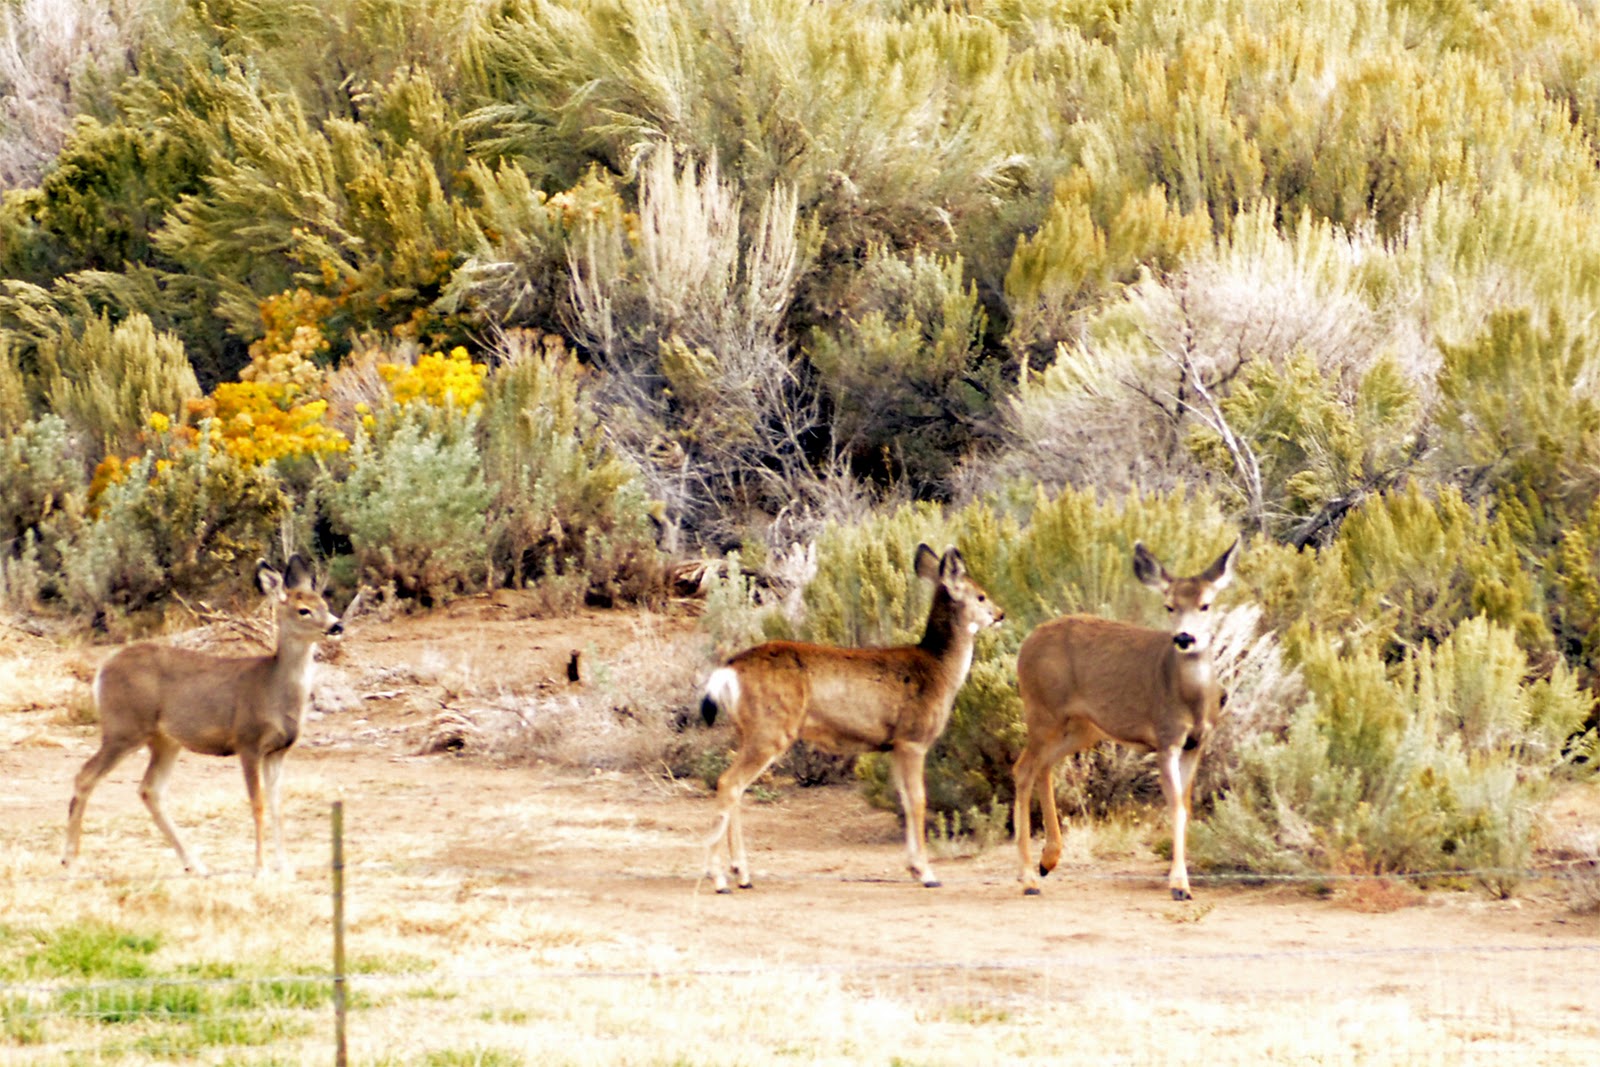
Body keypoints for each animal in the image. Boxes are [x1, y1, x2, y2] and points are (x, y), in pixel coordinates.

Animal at [63, 555, 342, 876]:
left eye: (324, 602)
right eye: (303, 610)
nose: (337, 625)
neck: (273, 689)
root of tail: (102, 670)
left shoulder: (278, 751)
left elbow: (276, 806)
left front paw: (285, 867)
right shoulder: (247, 741)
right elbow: (257, 804)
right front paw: (260, 869)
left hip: (165, 740)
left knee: (150, 789)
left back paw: (194, 864)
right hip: (123, 727)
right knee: (85, 775)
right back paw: (70, 858)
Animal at [698, 544, 1003, 893]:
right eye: (980, 595)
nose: (1000, 614)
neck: (939, 669)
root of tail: (727, 670)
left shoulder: (894, 746)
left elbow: (903, 799)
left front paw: (913, 868)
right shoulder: (913, 739)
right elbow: (918, 800)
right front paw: (927, 874)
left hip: (748, 731)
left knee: (734, 787)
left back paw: (741, 874)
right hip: (770, 730)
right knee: (729, 783)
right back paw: (720, 878)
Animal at [1011, 539, 1239, 900]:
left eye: (1206, 605)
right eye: (1169, 606)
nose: (1184, 638)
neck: (1190, 699)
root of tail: (1027, 643)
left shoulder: (1196, 743)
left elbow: (1186, 806)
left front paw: (1181, 881)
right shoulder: (1166, 738)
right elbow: (1175, 806)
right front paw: (1179, 885)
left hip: (1082, 727)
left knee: (1042, 766)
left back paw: (1048, 860)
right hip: (1042, 710)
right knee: (1023, 769)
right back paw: (1029, 878)